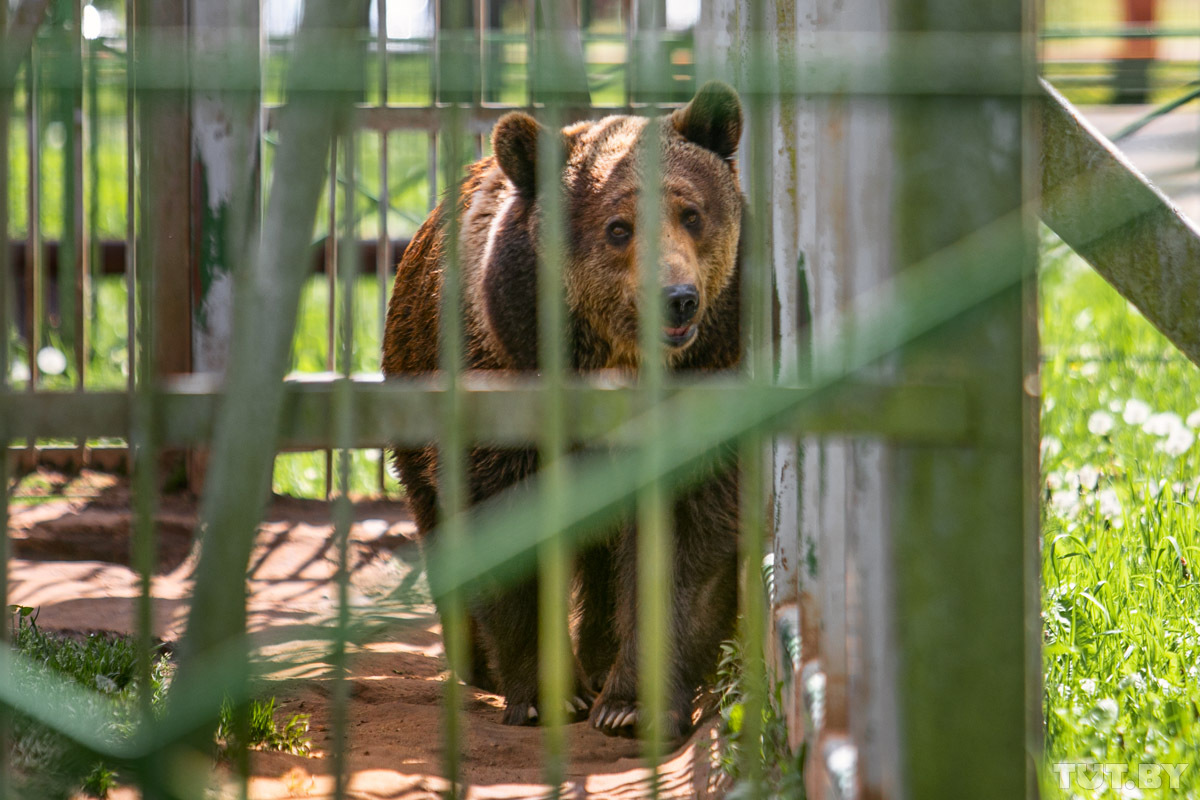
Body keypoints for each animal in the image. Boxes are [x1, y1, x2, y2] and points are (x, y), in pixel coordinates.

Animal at [381, 79, 739, 738]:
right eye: (618, 227)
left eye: (692, 214)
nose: (677, 299)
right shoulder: (502, 380)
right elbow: (506, 523)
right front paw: (549, 694)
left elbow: (682, 537)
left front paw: (631, 702)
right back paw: (480, 661)